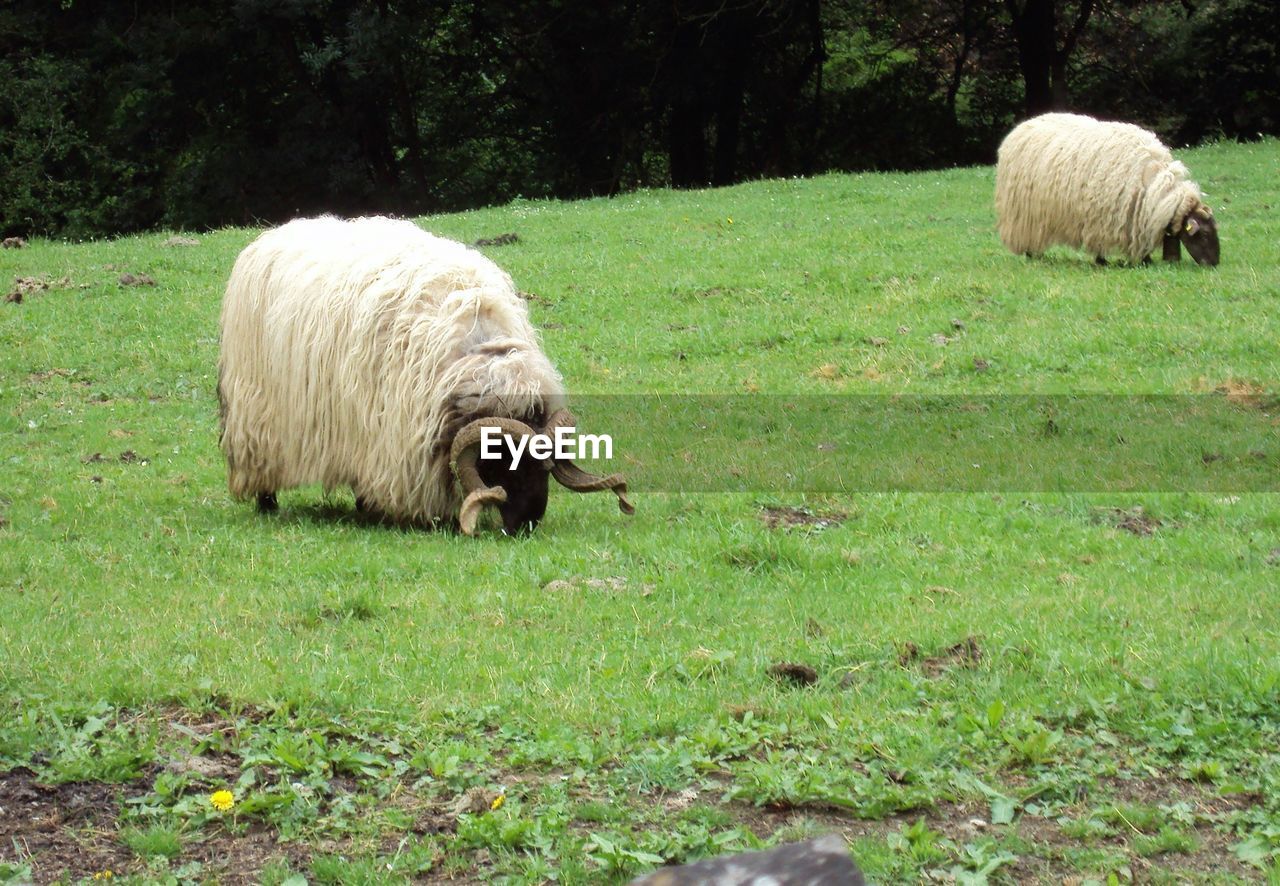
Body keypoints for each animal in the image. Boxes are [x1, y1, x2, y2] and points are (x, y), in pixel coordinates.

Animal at [222, 216, 637, 532]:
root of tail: (273, 233)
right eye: (505, 461)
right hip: (256, 412)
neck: (481, 355)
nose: (527, 524)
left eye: (547, 465)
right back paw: (268, 502)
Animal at [988, 110, 1218, 265]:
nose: (1214, 264)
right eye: (1205, 234)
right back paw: (1032, 255)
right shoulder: (1102, 216)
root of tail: (1022, 126)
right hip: (1024, 213)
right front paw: (1102, 261)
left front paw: (1146, 260)